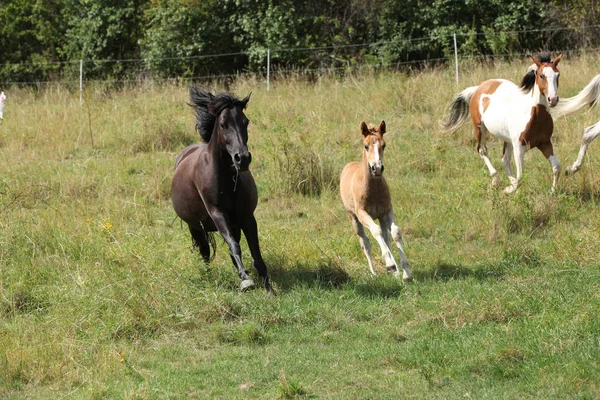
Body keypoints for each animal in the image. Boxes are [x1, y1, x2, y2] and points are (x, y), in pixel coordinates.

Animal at [172, 88, 274, 294]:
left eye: (246, 121)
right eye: (223, 124)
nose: (242, 158)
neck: (226, 179)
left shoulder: (247, 217)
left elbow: (255, 252)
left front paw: (270, 290)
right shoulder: (218, 214)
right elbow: (234, 247)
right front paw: (246, 280)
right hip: (195, 226)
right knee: (205, 251)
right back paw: (209, 275)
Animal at [340, 122, 410, 282]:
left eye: (384, 145)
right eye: (366, 146)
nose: (377, 169)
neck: (373, 190)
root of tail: (348, 166)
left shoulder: (387, 211)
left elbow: (395, 233)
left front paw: (405, 272)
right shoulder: (363, 214)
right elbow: (375, 232)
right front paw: (390, 265)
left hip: (380, 217)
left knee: (386, 238)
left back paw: (396, 271)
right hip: (353, 218)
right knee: (365, 242)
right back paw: (374, 273)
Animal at [440, 54, 564, 194]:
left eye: (557, 75)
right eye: (542, 75)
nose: (553, 99)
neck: (534, 116)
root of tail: (478, 87)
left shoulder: (545, 143)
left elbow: (556, 167)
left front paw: (552, 192)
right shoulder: (519, 147)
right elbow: (520, 174)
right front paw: (509, 190)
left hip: (507, 139)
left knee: (504, 158)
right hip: (480, 128)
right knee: (482, 151)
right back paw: (496, 181)